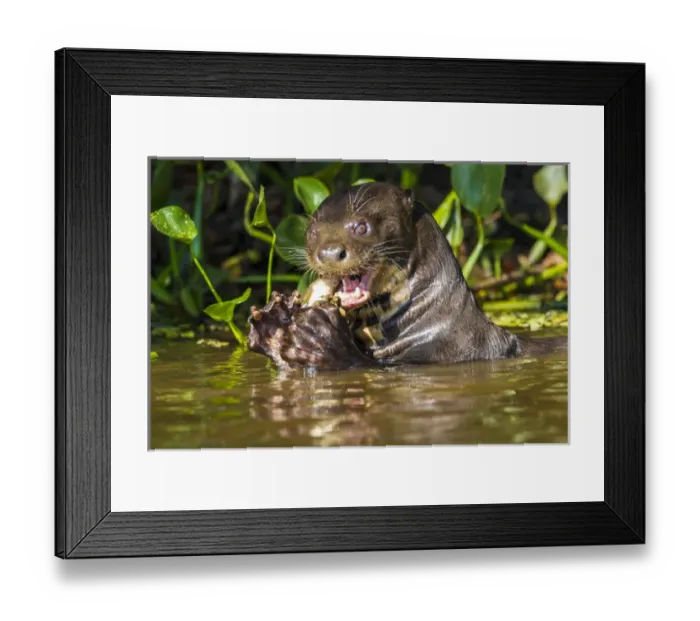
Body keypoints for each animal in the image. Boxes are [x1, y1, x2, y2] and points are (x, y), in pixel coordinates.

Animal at [247, 182, 562, 370]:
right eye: (312, 232)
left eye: (361, 226)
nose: (329, 252)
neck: (430, 321)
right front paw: (272, 321)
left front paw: (316, 335)